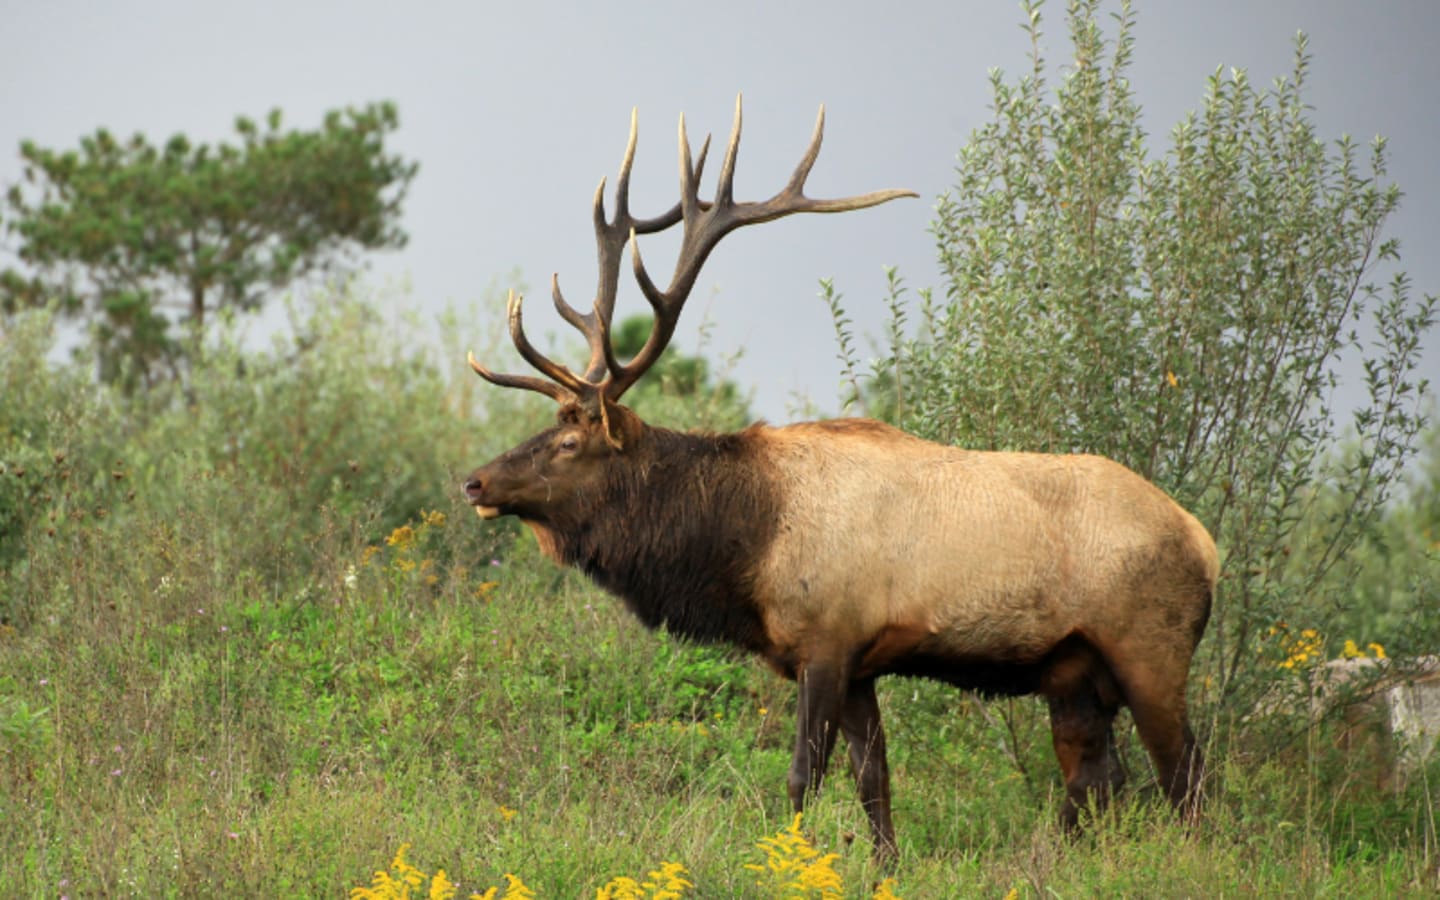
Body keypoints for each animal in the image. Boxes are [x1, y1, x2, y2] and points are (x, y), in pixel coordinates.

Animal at [463, 96, 1217, 861]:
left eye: (569, 441)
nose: (475, 482)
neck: (745, 544)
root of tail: (1204, 542)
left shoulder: (826, 639)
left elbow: (805, 774)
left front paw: (784, 861)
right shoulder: (860, 663)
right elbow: (872, 779)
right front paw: (885, 867)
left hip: (1150, 650)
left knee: (1186, 779)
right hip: (1074, 672)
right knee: (1097, 778)